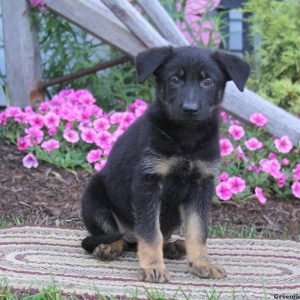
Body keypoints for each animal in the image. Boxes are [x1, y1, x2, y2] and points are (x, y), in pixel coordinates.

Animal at [81, 45, 250, 282]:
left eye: (207, 82)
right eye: (175, 80)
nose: (190, 109)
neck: (186, 137)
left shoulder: (201, 185)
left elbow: (198, 230)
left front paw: (201, 263)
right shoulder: (148, 182)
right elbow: (150, 232)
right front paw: (153, 267)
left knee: (157, 237)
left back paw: (175, 246)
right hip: (93, 197)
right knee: (119, 236)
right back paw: (109, 248)